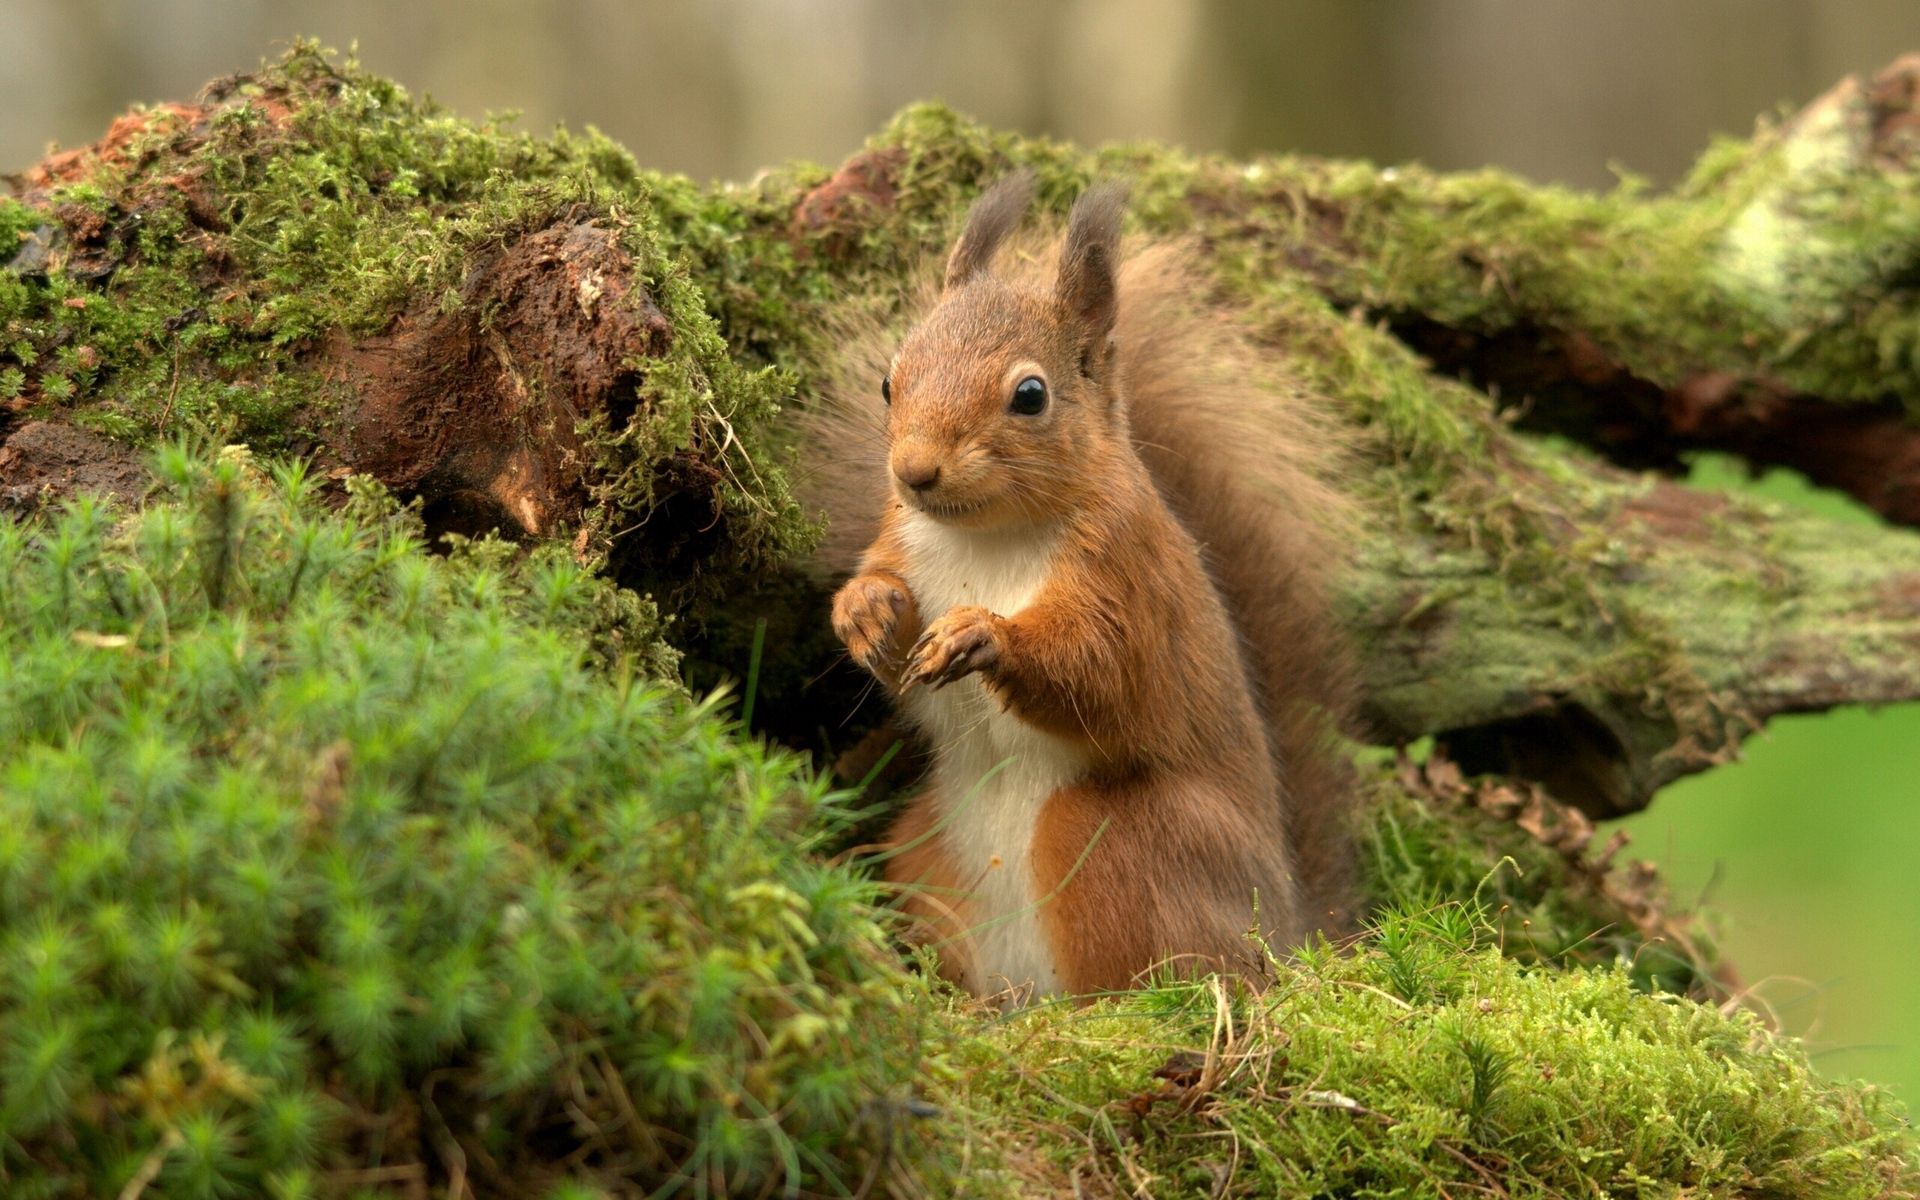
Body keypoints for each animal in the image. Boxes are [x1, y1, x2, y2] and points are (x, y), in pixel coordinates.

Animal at [802, 175, 1359, 998]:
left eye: (1030, 395)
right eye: (887, 381)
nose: (914, 471)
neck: (988, 538)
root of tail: (1285, 928)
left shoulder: (1126, 576)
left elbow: (1101, 672)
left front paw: (984, 634)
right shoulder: (900, 538)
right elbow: (885, 602)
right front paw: (865, 610)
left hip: (1116, 842)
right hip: (926, 853)